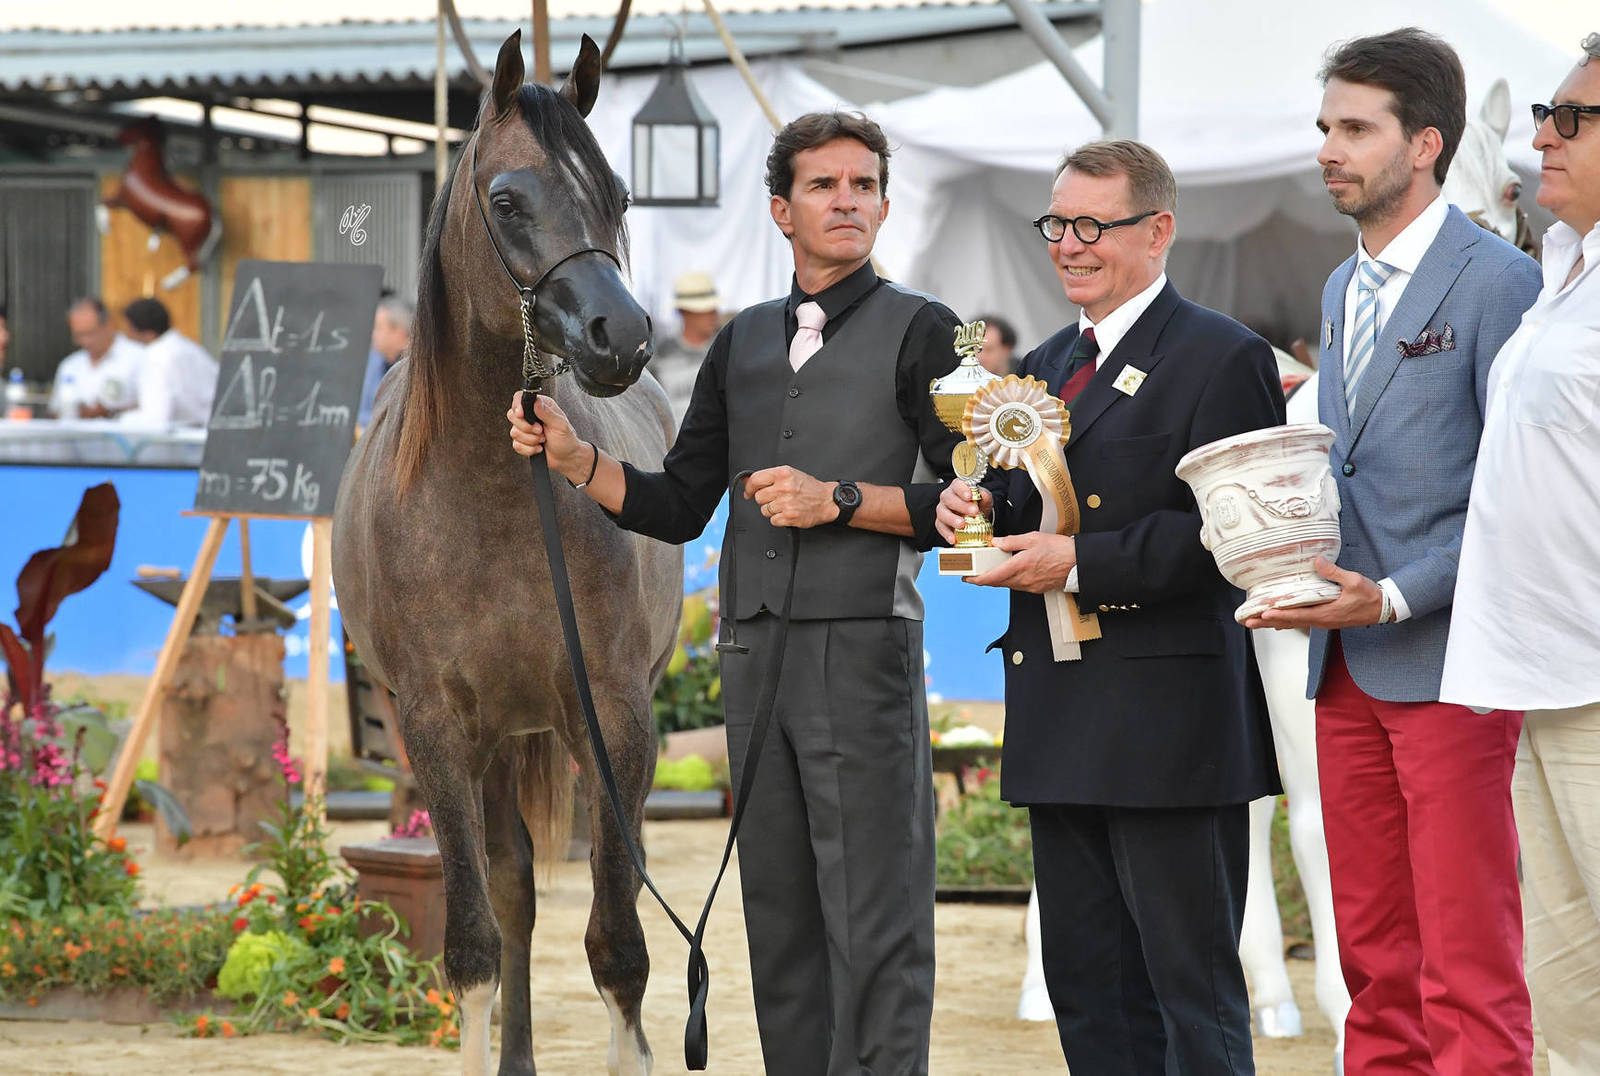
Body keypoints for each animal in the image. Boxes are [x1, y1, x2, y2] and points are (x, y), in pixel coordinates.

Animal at [332, 32, 680, 1076]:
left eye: (619, 194)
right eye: (507, 201)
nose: (623, 336)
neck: (491, 501)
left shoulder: (616, 721)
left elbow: (619, 947)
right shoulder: (439, 733)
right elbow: (476, 944)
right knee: (516, 888)